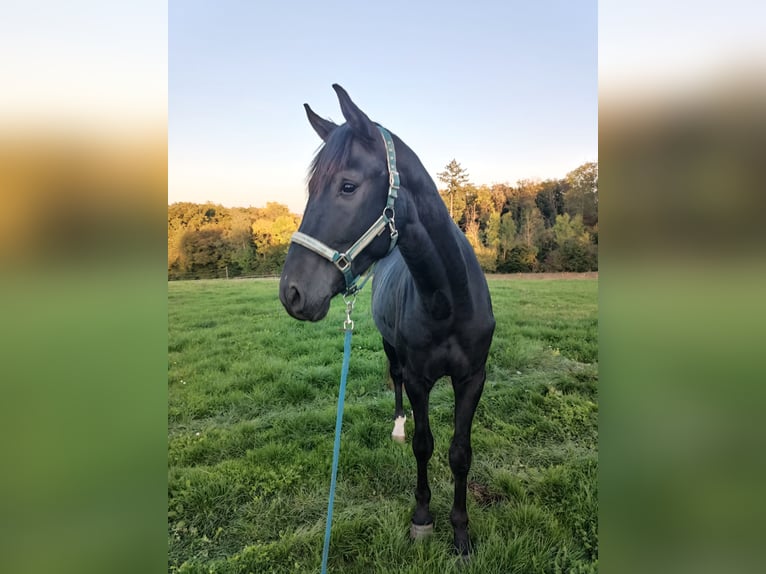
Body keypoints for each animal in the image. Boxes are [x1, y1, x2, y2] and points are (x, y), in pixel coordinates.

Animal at [279, 84, 495, 556]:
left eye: (347, 186)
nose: (292, 292)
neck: (448, 300)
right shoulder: (418, 378)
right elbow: (423, 444)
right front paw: (422, 518)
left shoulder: (473, 377)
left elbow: (460, 452)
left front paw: (461, 534)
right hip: (390, 348)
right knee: (394, 381)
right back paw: (397, 425)